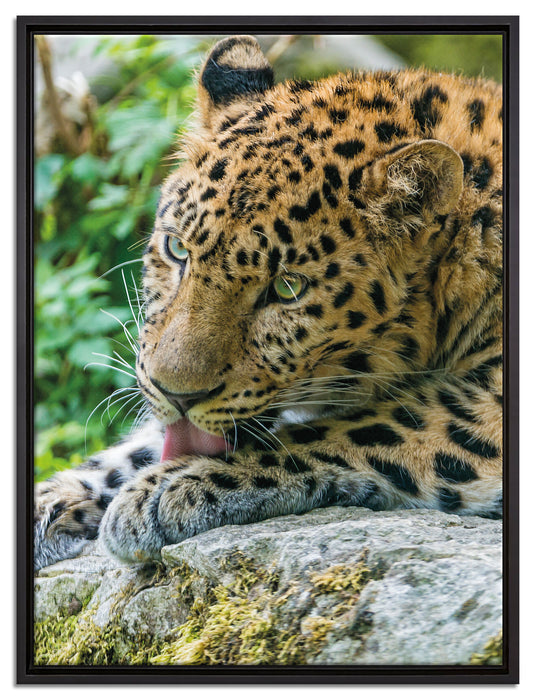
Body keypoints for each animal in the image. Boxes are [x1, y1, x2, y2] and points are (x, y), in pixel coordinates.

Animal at [34, 35, 503, 571]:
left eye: (286, 289)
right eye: (177, 250)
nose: (176, 394)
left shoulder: (486, 405)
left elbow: (363, 428)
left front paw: (169, 487)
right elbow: (146, 440)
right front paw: (54, 496)